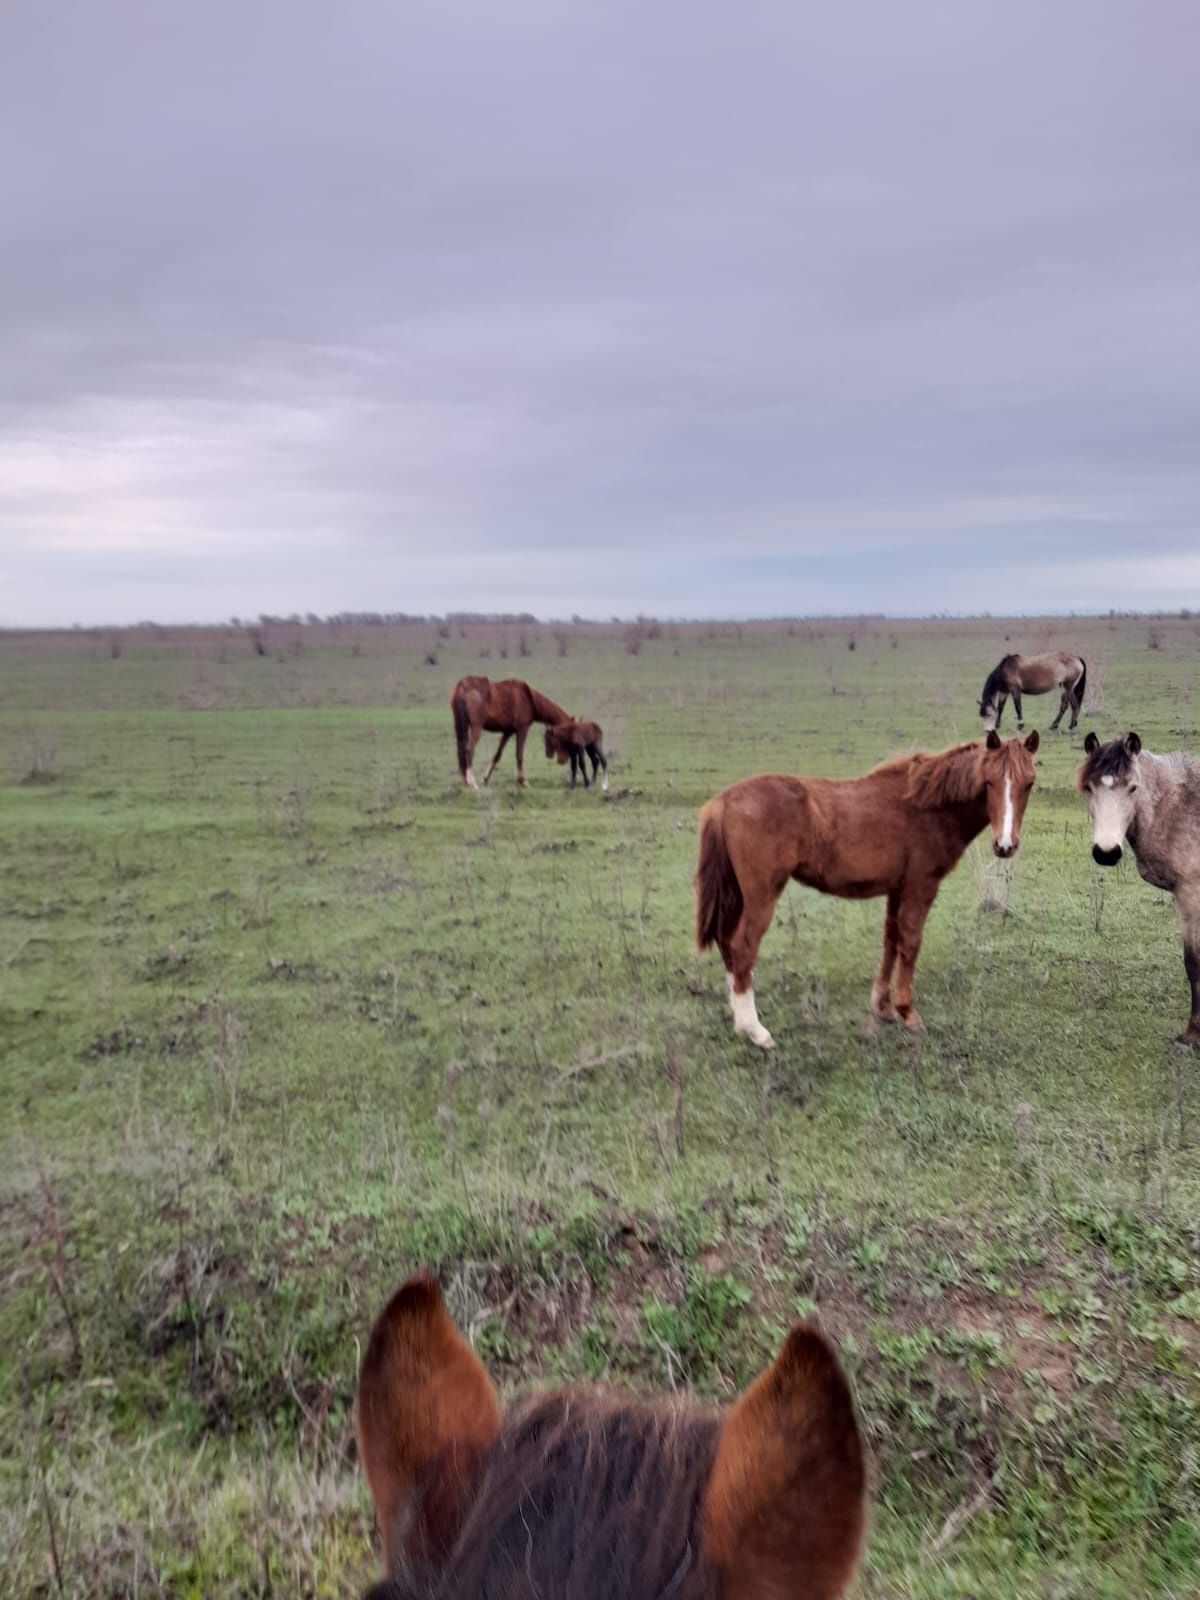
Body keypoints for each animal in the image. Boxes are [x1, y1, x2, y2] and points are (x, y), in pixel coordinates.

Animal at [694, 729, 1043, 1049]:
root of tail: (723, 801)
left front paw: (883, 1007)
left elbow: (890, 941)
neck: (926, 806)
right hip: (761, 895)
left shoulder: (897, 889)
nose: (1005, 846)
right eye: (990, 782)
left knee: (727, 943)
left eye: (1029, 783)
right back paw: (755, 1031)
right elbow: (910, 943)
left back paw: (739, 1017)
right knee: (743, 947)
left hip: (738, 895)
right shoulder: (921, 886)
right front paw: (907, 1012)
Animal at [1081, 729, 1200, 1049]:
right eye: (1089, 788)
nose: (1106, 852)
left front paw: (1192, 1034)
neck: (1177, 810)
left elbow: (1193, 963)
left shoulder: (1191, 896)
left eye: (1133, 788)